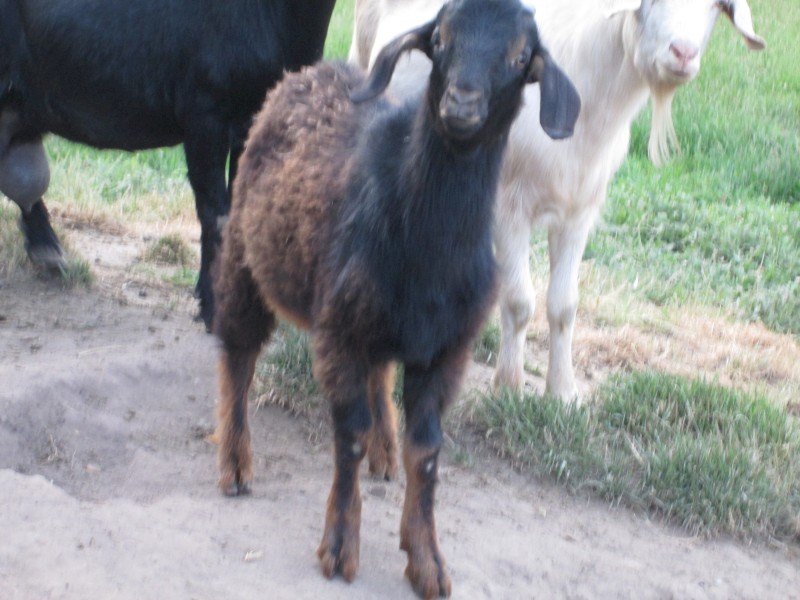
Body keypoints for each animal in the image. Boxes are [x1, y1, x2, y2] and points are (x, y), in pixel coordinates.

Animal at [212, 0, 580, 596]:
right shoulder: (339, 331)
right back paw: (235, 463)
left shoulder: (447, 350)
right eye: (441, 39)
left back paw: (385, 454)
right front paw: (340, 547)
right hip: (247, 258)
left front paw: (427, 560)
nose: (462, 102)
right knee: (238, 355)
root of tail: (312, 71)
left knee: (379, 374)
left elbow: (426, 451)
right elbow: (349, 434)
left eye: (521, 56)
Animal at [351, 0, 765, 400]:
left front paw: (562, 392)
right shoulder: (509, 207)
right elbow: (519, 301)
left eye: (718, 6)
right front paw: (509, 386)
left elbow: (564, 305)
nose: (683, 52)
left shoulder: (579, 211)